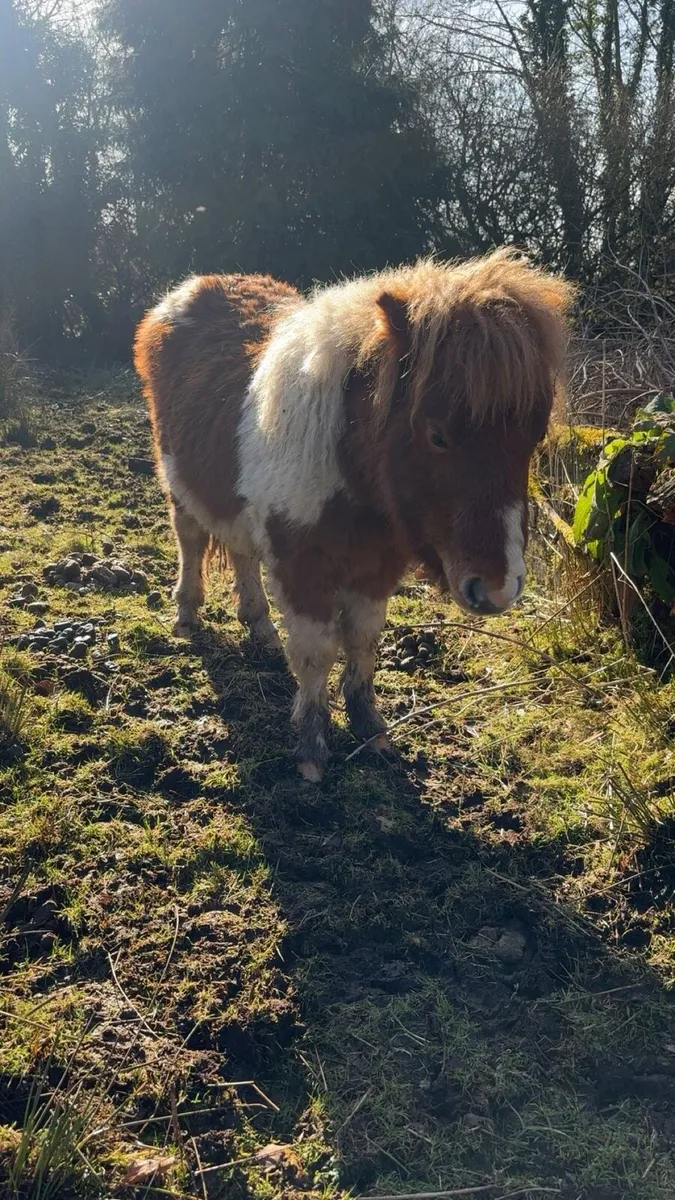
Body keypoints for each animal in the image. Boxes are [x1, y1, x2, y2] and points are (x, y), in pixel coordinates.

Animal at [134, 249, 574, 780]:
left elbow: (363, 644)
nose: (498, 589)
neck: (346, 466)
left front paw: (371, 729)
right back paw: (186, 615)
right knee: (190, 539)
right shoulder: (302, 570)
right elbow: (316, 653)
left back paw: (259, 627)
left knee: (241, 553)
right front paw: (311, 749)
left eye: (534, 436)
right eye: (438, 435)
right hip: (177, 479)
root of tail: (187, 291)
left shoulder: (375, 570)